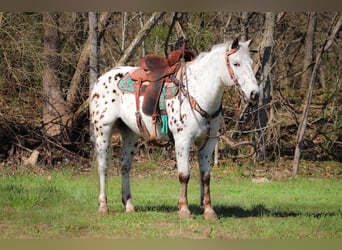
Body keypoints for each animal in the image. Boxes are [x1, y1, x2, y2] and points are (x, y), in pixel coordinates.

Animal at [89, 36, 258, 219]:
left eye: (251, 62)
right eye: (236, 63)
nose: (254, 93)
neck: (198, 92)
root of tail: (101, 80)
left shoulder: (208, 142)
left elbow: (205, 176)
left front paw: (208, 210)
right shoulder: (182, 140)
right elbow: (184, 175)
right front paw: (184, 209)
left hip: (130, 134)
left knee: (125, 165)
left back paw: (129, 204)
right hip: (103, 131)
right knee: (103, 166)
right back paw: (103, 206)